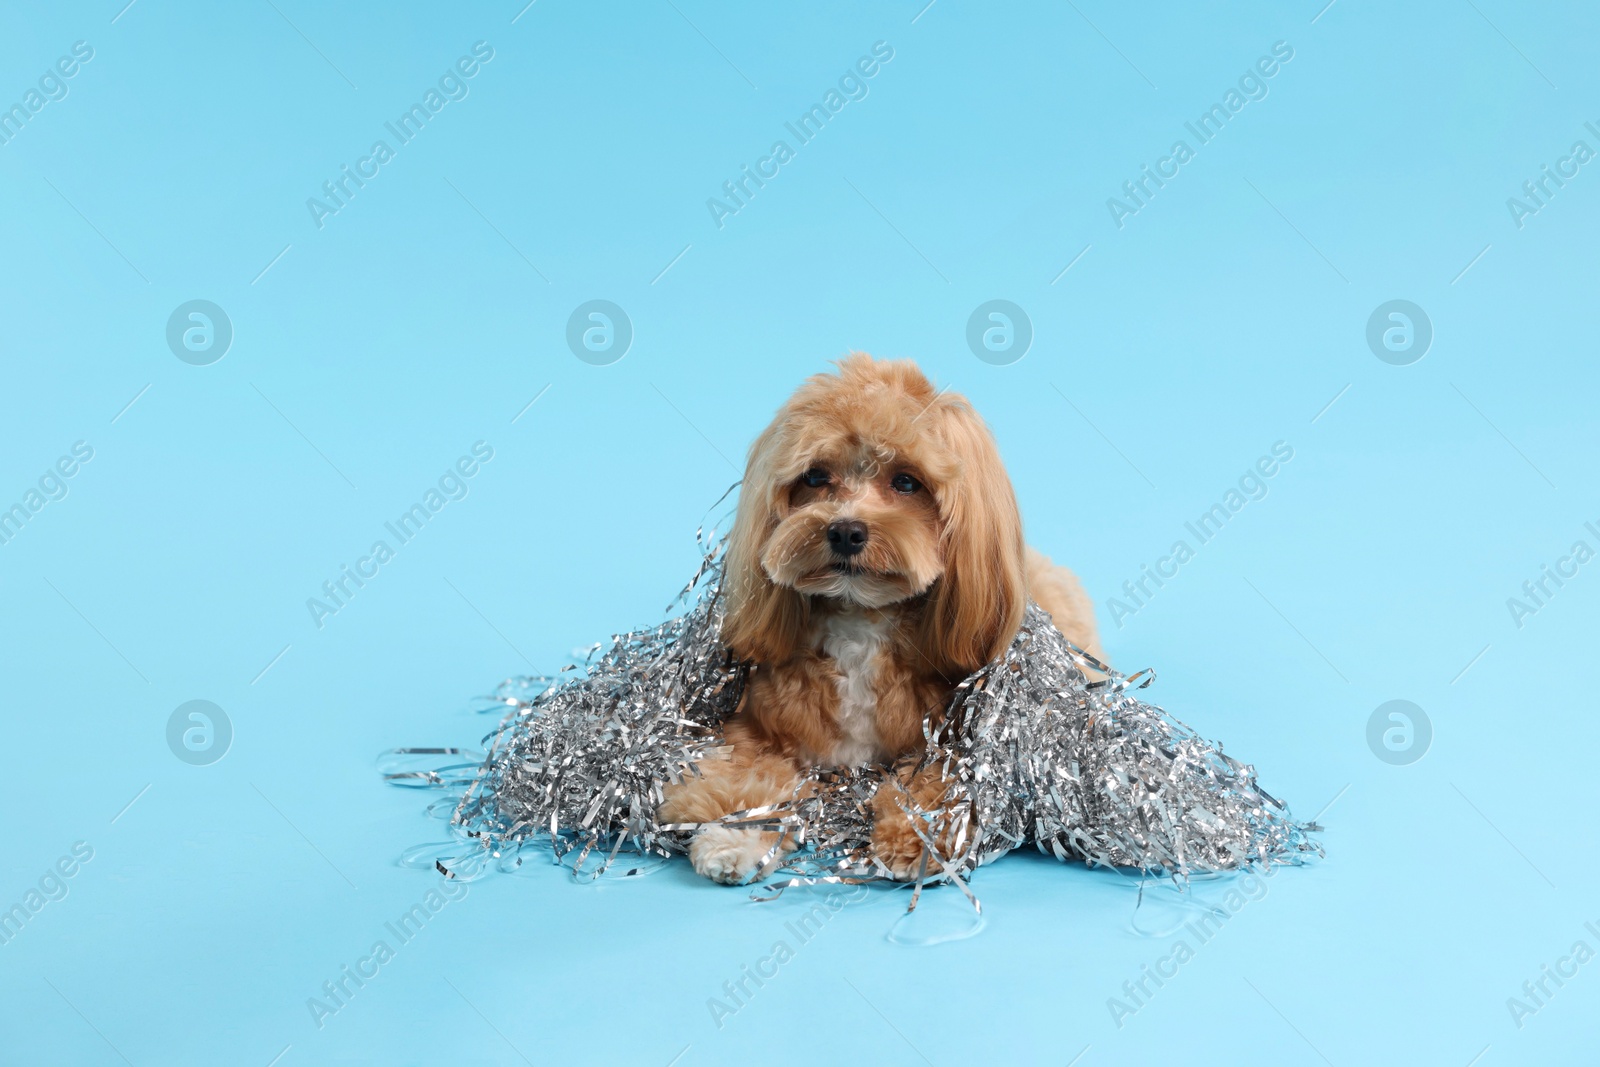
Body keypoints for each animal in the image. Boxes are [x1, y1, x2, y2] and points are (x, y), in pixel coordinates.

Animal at [652, 356, 1100, 883]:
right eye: (815, 477)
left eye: (906, 481)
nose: (845, 530)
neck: (860, 621)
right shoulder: (755, 729)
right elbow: (748, 775)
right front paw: (735, 834)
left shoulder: (953, 741)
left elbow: (938, 785)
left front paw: (915, 838)